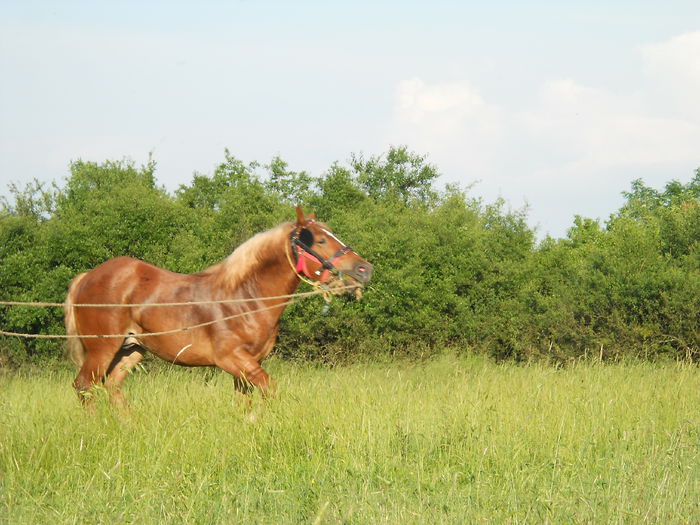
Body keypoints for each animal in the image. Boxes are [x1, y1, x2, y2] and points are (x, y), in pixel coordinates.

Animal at [63, 206, 374, 406]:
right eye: (320, 240)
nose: (364, 269)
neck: (245, 298)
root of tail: (87, 277)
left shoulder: (249, 364)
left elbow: (244, 404)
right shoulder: (233, 359)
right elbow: (270, 391)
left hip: (131, 350)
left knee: (111, 388)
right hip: (102, 349)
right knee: (84, 387)